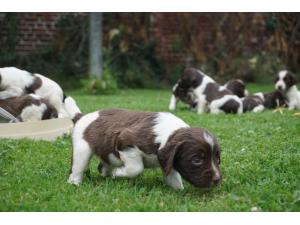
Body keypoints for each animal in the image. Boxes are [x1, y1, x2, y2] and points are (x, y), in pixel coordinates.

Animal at [65, 96, 220, 190]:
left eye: (218, 160)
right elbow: (136, 168)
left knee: (103, 165)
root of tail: (82, 116)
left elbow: (173, 177)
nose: (217, 179)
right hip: (82, 149)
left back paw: (106, 174)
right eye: (196, 160)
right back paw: (75, 183)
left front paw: (179, 190)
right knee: (77, 168)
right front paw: (119, 173)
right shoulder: (126, 142)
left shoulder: (167, 159)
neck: (168, 133)